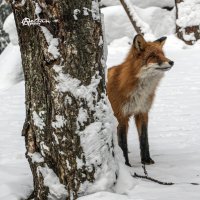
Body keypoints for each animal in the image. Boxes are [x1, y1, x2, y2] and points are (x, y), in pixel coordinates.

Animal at [107, 34, 174, 166]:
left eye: (163, 54)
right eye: (153, 56)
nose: (172, 62)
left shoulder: (142, 112)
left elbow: (144, 139)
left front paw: (146, 160)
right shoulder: (121, 115)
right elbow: (123, 143)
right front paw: (126, 164)